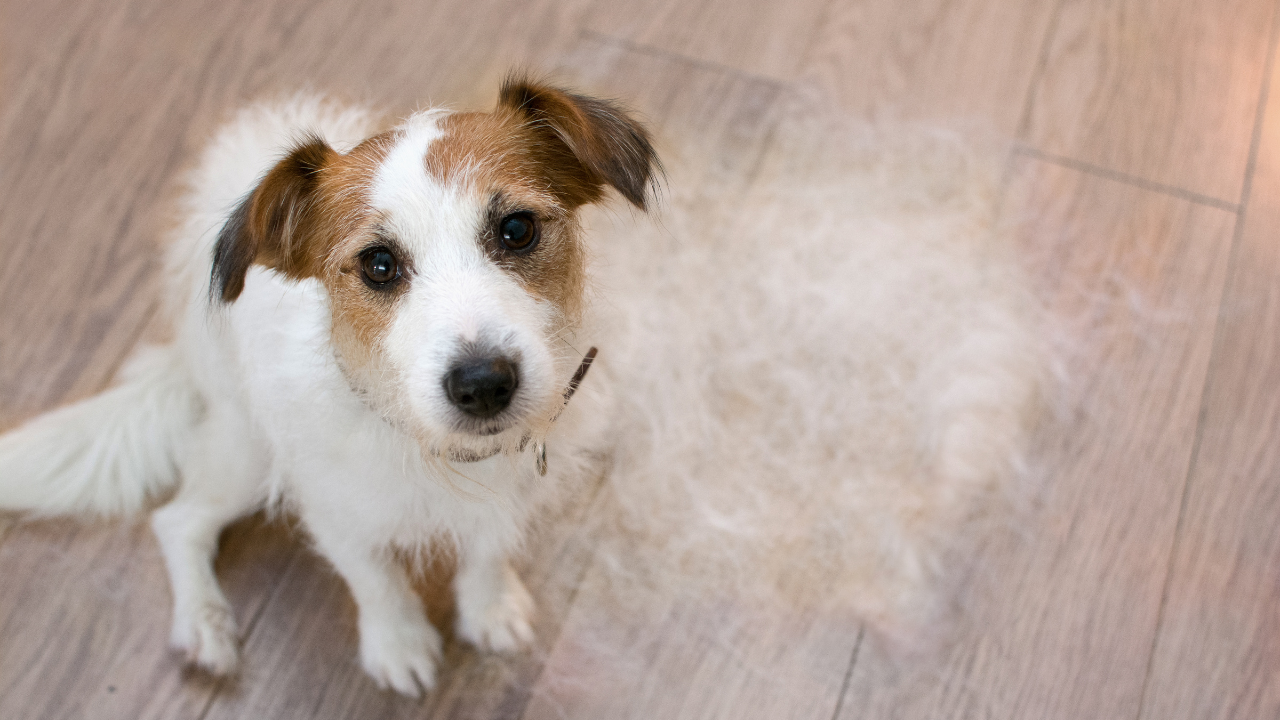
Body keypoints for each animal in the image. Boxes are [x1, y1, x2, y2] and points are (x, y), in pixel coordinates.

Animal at [0, 74, 660, 696]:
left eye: (517, 229)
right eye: (379, 265)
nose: (483, 385)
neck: (428, 443)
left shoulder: (512, 492)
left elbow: (488, 551)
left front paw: (490, 608)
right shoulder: (331, 508)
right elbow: (375, 577)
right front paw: (398, 643)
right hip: (247, 453)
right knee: (178, 520)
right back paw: (204, 624)